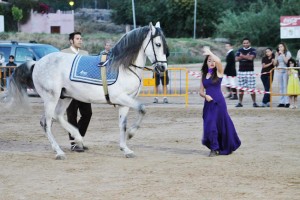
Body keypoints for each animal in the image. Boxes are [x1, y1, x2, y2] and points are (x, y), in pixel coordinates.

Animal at [1, 21, 168, 159]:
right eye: (158, 44)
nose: (162, 67)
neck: (123, 67)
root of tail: (37, 63)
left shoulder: (125, 102)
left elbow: (123, 124)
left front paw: (125, 149)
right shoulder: (121, 98)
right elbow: (142, 108)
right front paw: (131, 134)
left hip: (65, 97)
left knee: (58, 116)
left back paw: (78, 139)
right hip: (51, 98)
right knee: (46, 122)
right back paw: (59, 152)